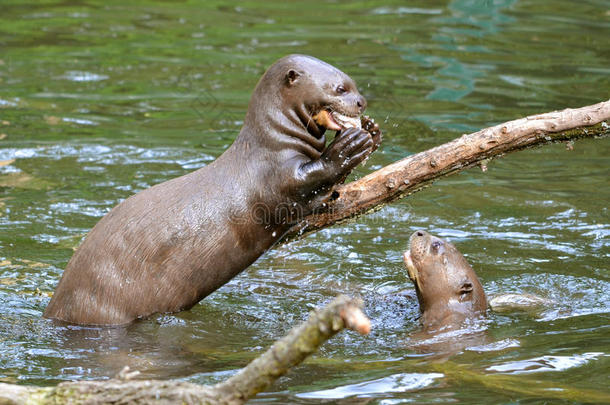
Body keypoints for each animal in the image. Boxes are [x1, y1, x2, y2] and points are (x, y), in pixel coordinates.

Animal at [45, 54, 380, 326]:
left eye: (354, 85)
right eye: (340, 89)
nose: (362, 102)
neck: (276, 140)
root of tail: (56, 309)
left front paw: (372, 132)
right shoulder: (276, 174)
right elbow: (308, 182)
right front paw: (349, 146)